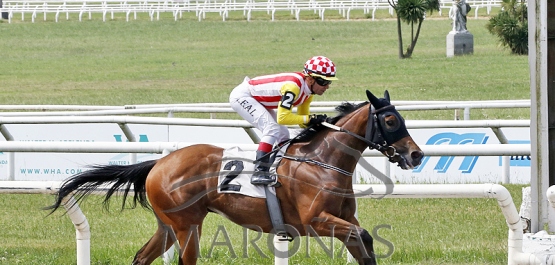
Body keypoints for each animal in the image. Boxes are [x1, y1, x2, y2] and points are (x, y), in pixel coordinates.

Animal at [45, 89, 424, 262]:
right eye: (391, 120)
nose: (416, 154)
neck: (322, 161)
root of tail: (159, 164)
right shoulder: (315, 221)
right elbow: (363, 236)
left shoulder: (343, 219)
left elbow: (364, 244)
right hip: (187, 224)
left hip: (167, 224)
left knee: (141, 257)